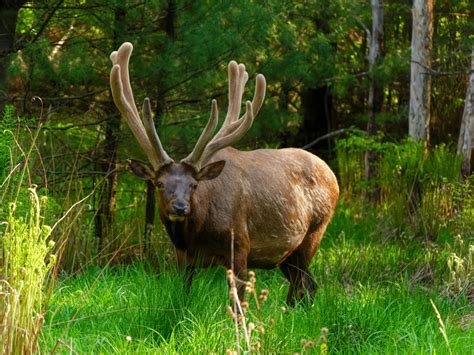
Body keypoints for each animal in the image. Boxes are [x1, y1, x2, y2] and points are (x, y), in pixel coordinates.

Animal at [109, 42, 338, 306]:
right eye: (159, 183)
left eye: (194, 185)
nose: (180, 207)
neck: (196, 235)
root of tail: (333, 176)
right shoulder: (183, 258)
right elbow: (183, 297)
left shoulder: (239, 246)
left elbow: (237, 303)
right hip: (287, 255)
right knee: (305, 286)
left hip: (313, 234)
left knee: (304, 287)